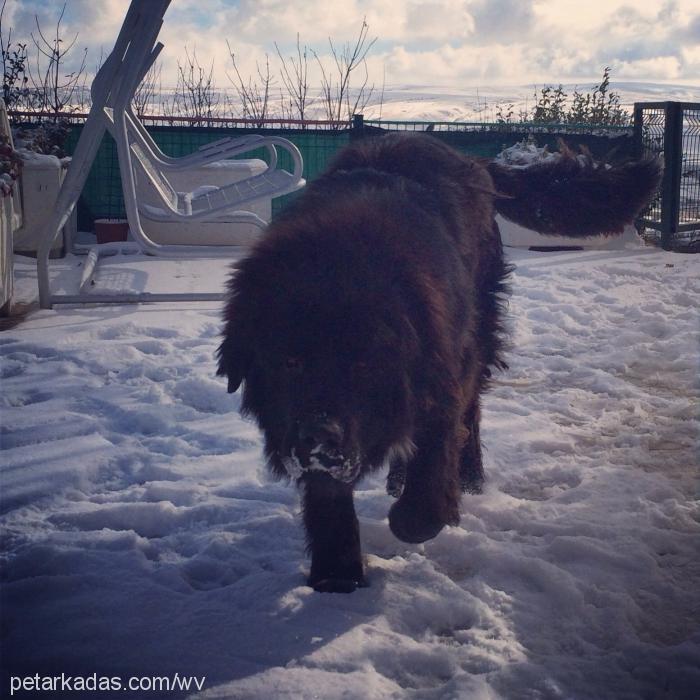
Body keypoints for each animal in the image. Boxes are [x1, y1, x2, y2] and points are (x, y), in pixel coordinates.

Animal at [219, 131, 660, 592]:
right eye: (290, 362)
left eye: (364, 366)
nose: (319, 438)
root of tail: (472, 159)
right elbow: (329, 494)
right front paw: (336, 573)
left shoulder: (440, 370)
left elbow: (436, 449)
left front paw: (424, 515)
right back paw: (397, 480)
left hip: (480, 329)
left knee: (472, 412)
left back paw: (469, 478)